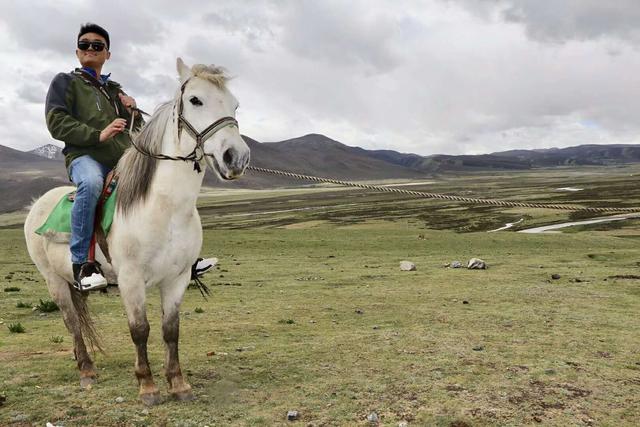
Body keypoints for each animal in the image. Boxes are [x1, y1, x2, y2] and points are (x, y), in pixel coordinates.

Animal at [22, 58, 249, 406]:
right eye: (195, 100)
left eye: (235, 104)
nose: (236, 157)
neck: (164, 209)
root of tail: (37, 203)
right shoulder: (130, 280)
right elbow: (140, 329)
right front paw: (148, 386)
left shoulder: (177, 278)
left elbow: (171, 330)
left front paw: (178, 384)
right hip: (54, 281)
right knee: (72, 323)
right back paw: (86, 371)